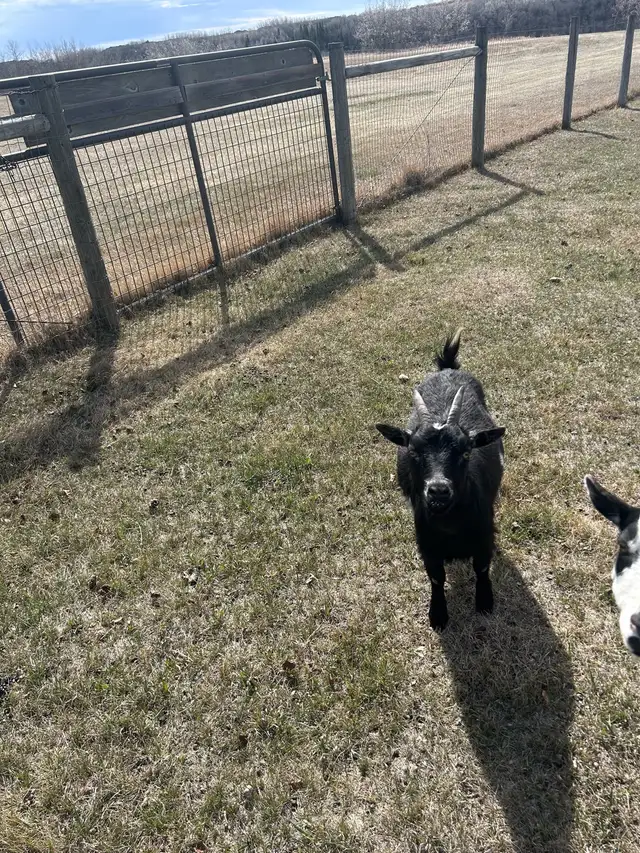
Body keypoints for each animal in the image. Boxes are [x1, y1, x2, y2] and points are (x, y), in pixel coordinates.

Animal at [376, 330, 506, 630]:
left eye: (466, 451)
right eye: (413, 451)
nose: (438, 491)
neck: (451, 527)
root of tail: (447, 368)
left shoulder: (483, 538)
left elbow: (482, 569)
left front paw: (485, 602)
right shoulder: (427, 547)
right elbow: (436, 578)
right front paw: (437, 615)